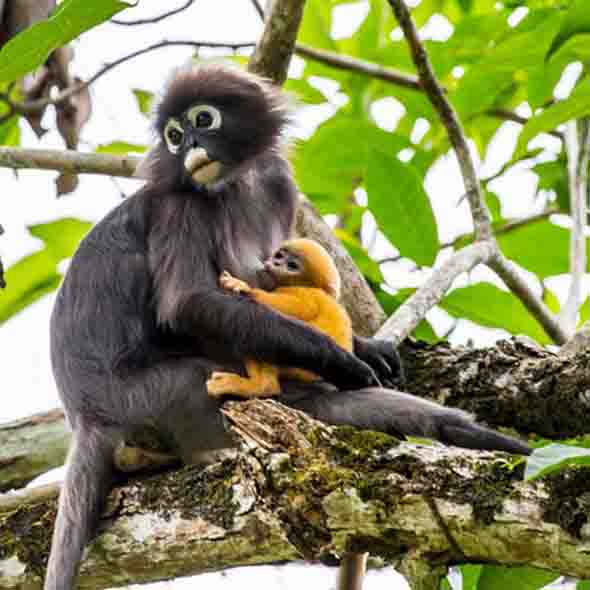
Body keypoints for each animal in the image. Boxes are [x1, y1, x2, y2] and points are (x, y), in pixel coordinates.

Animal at [208, 238, 354, 400]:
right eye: (279, 256)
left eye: (292, 265)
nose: (276, 263)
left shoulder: (306, 294)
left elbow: (292, 306)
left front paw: (244, 287)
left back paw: (261, 386)